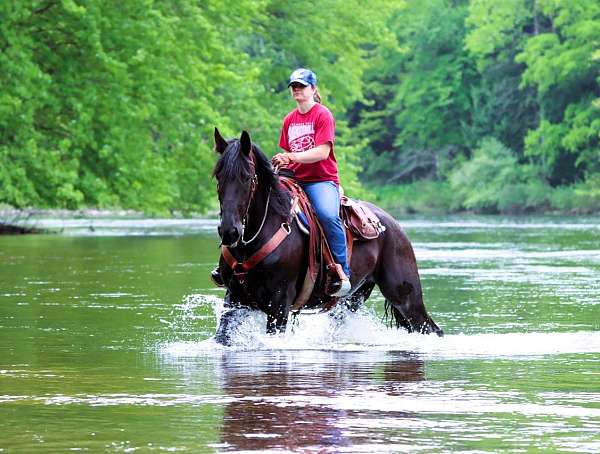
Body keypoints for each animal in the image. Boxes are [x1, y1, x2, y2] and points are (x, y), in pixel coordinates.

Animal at [211, 129, 440, 344]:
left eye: (246, 176)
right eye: (218, 176)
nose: (229, 231)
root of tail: (393, 225)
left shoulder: (279, 304)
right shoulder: (234, 299)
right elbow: (222, 337)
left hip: (405, 295)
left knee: (430, 328)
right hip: (352, 298)